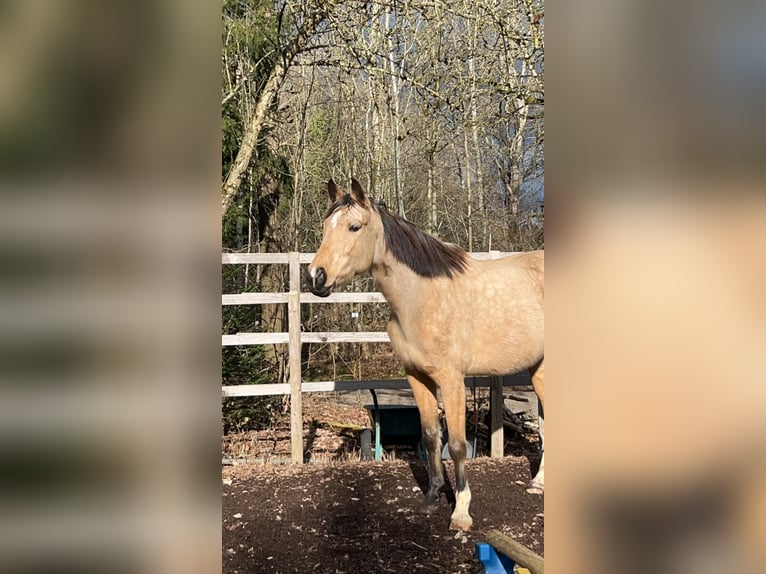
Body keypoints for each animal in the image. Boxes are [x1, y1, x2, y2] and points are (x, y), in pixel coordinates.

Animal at [307, 178, 544, 531]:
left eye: (354, 227)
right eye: (325, 227)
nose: (316, 277)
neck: (423, 298)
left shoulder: (453, 380)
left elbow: (456, 446)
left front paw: (461, 511)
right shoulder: (416, 377)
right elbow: (431, 437)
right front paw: (432, 498)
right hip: (541, 369)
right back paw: (538, 483)